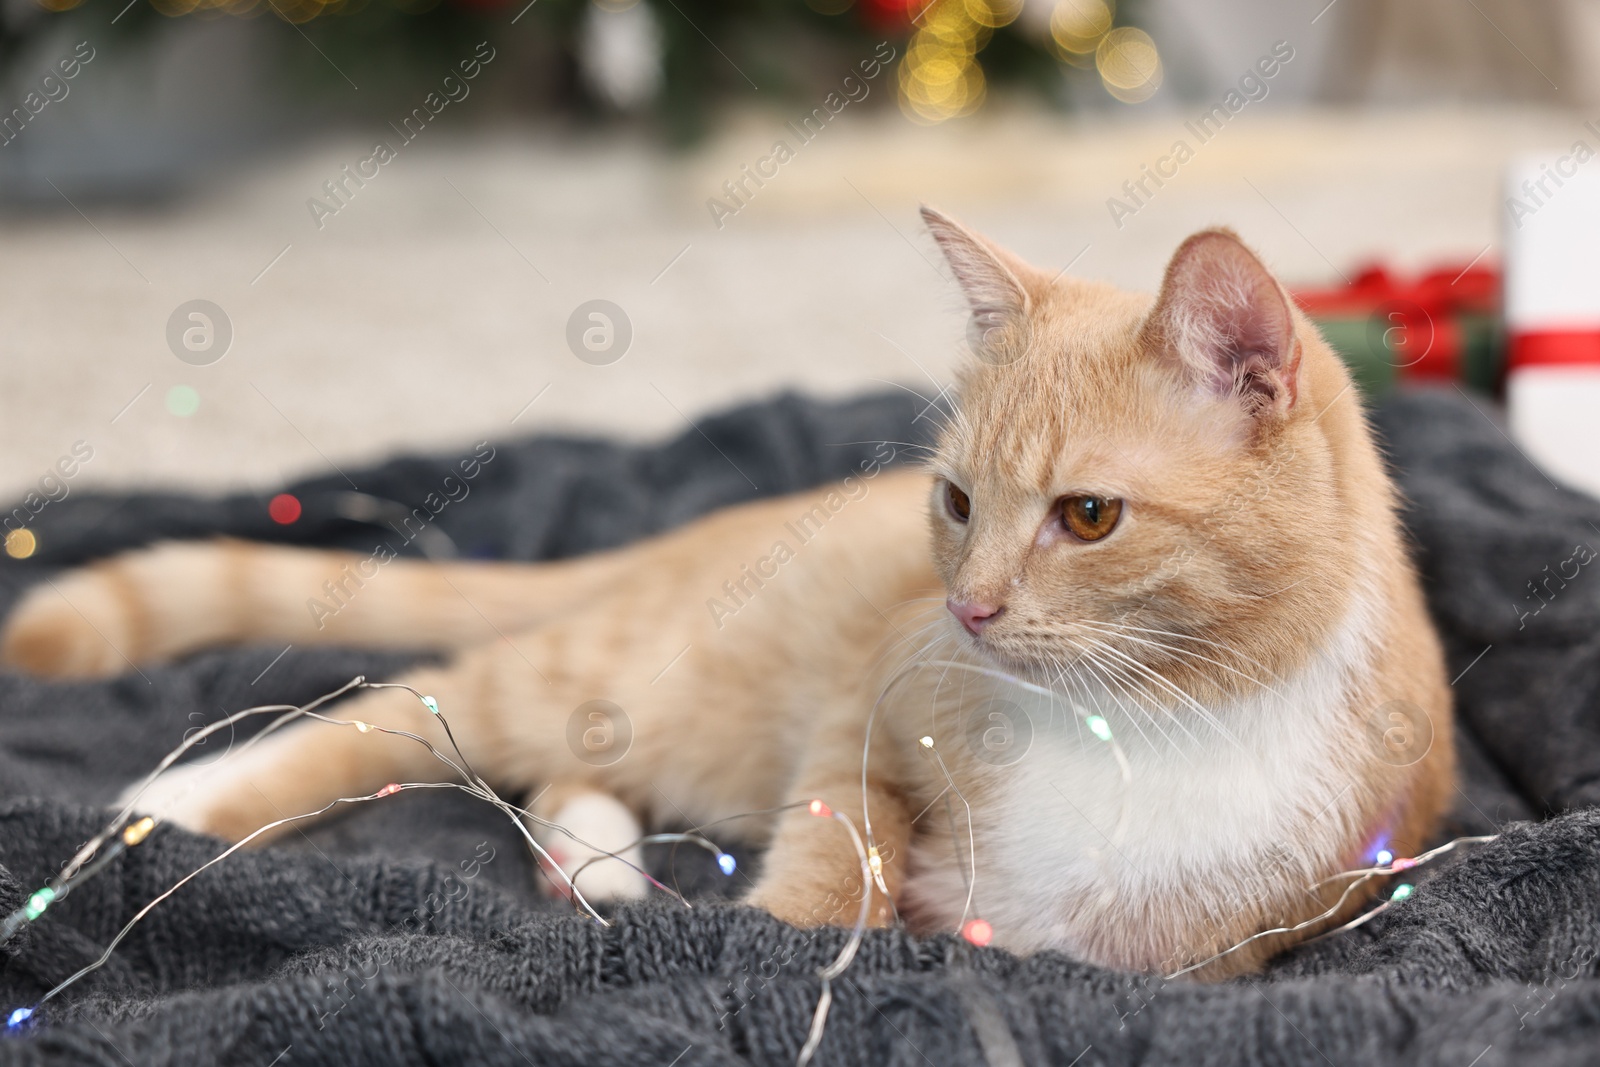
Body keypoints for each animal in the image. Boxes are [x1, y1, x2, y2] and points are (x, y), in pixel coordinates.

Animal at [0, 212, 1452, 979]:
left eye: (1086, 516)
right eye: (957, 502)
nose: (970, 609)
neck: (1142, 722)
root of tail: (699, 535)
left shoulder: (1216, 948)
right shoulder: (867, 708)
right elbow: (840, 855)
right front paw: (787, 939)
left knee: (550, 764)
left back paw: (591, 859)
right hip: (635, 677)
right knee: (417, 702)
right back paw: (184, 796)